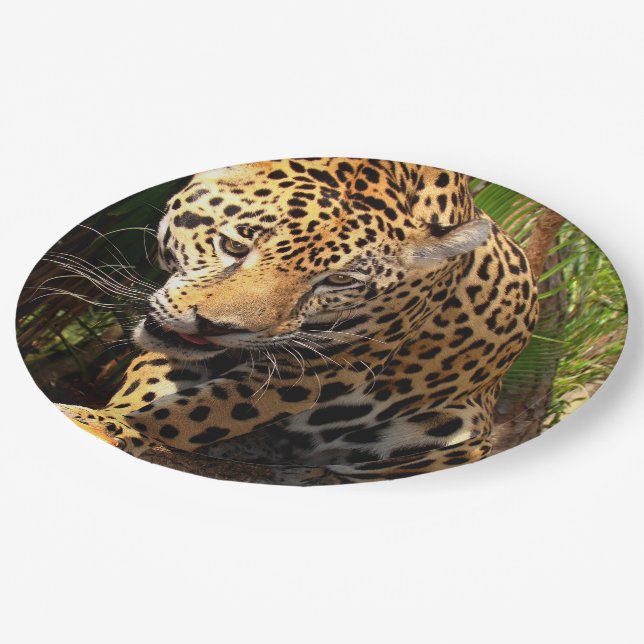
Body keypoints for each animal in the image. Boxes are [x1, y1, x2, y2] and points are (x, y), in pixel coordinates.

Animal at [57, 158, 539, 485]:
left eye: (339, 280)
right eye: (234, 245)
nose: (215, 328)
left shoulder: (319, 371)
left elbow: (201, 411)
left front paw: (115, 426)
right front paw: (111, 417)